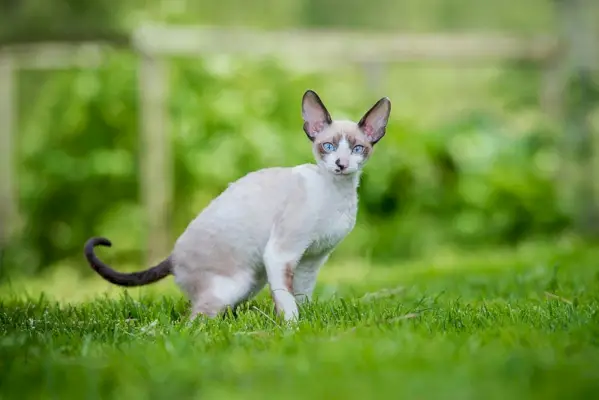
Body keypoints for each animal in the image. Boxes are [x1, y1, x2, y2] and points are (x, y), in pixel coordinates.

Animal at [85, 90, 394, 322]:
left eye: (357, 149)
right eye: (328, 147)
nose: (341, 164)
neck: (336, 193)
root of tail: (172, 256)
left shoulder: (312, 260)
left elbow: (302, 296)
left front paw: (306, 323)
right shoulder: (281, 254)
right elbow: (287, 301)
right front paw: (293, 329)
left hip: (253, 281)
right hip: (236, 284)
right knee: (193, 320)